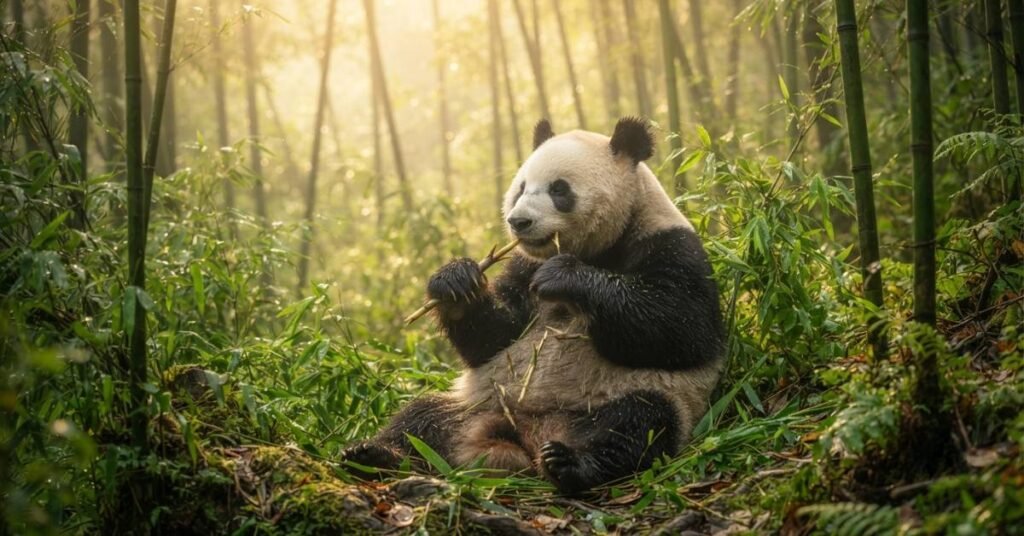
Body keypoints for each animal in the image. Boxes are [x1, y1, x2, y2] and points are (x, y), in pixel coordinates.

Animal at [343, 117, 725, 495]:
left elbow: (680, 328)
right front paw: (456, 282)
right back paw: (373, 454)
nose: (518, 222)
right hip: (478, 403)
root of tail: (520, 436)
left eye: (559, 189)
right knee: (419, 418)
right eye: (521, 187)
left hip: (636, 398)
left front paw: (564, 277)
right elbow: (495, 338)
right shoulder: (523, 266)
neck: (602, 246)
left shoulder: (672, 245)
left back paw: (569, 463)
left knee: (638, 424)